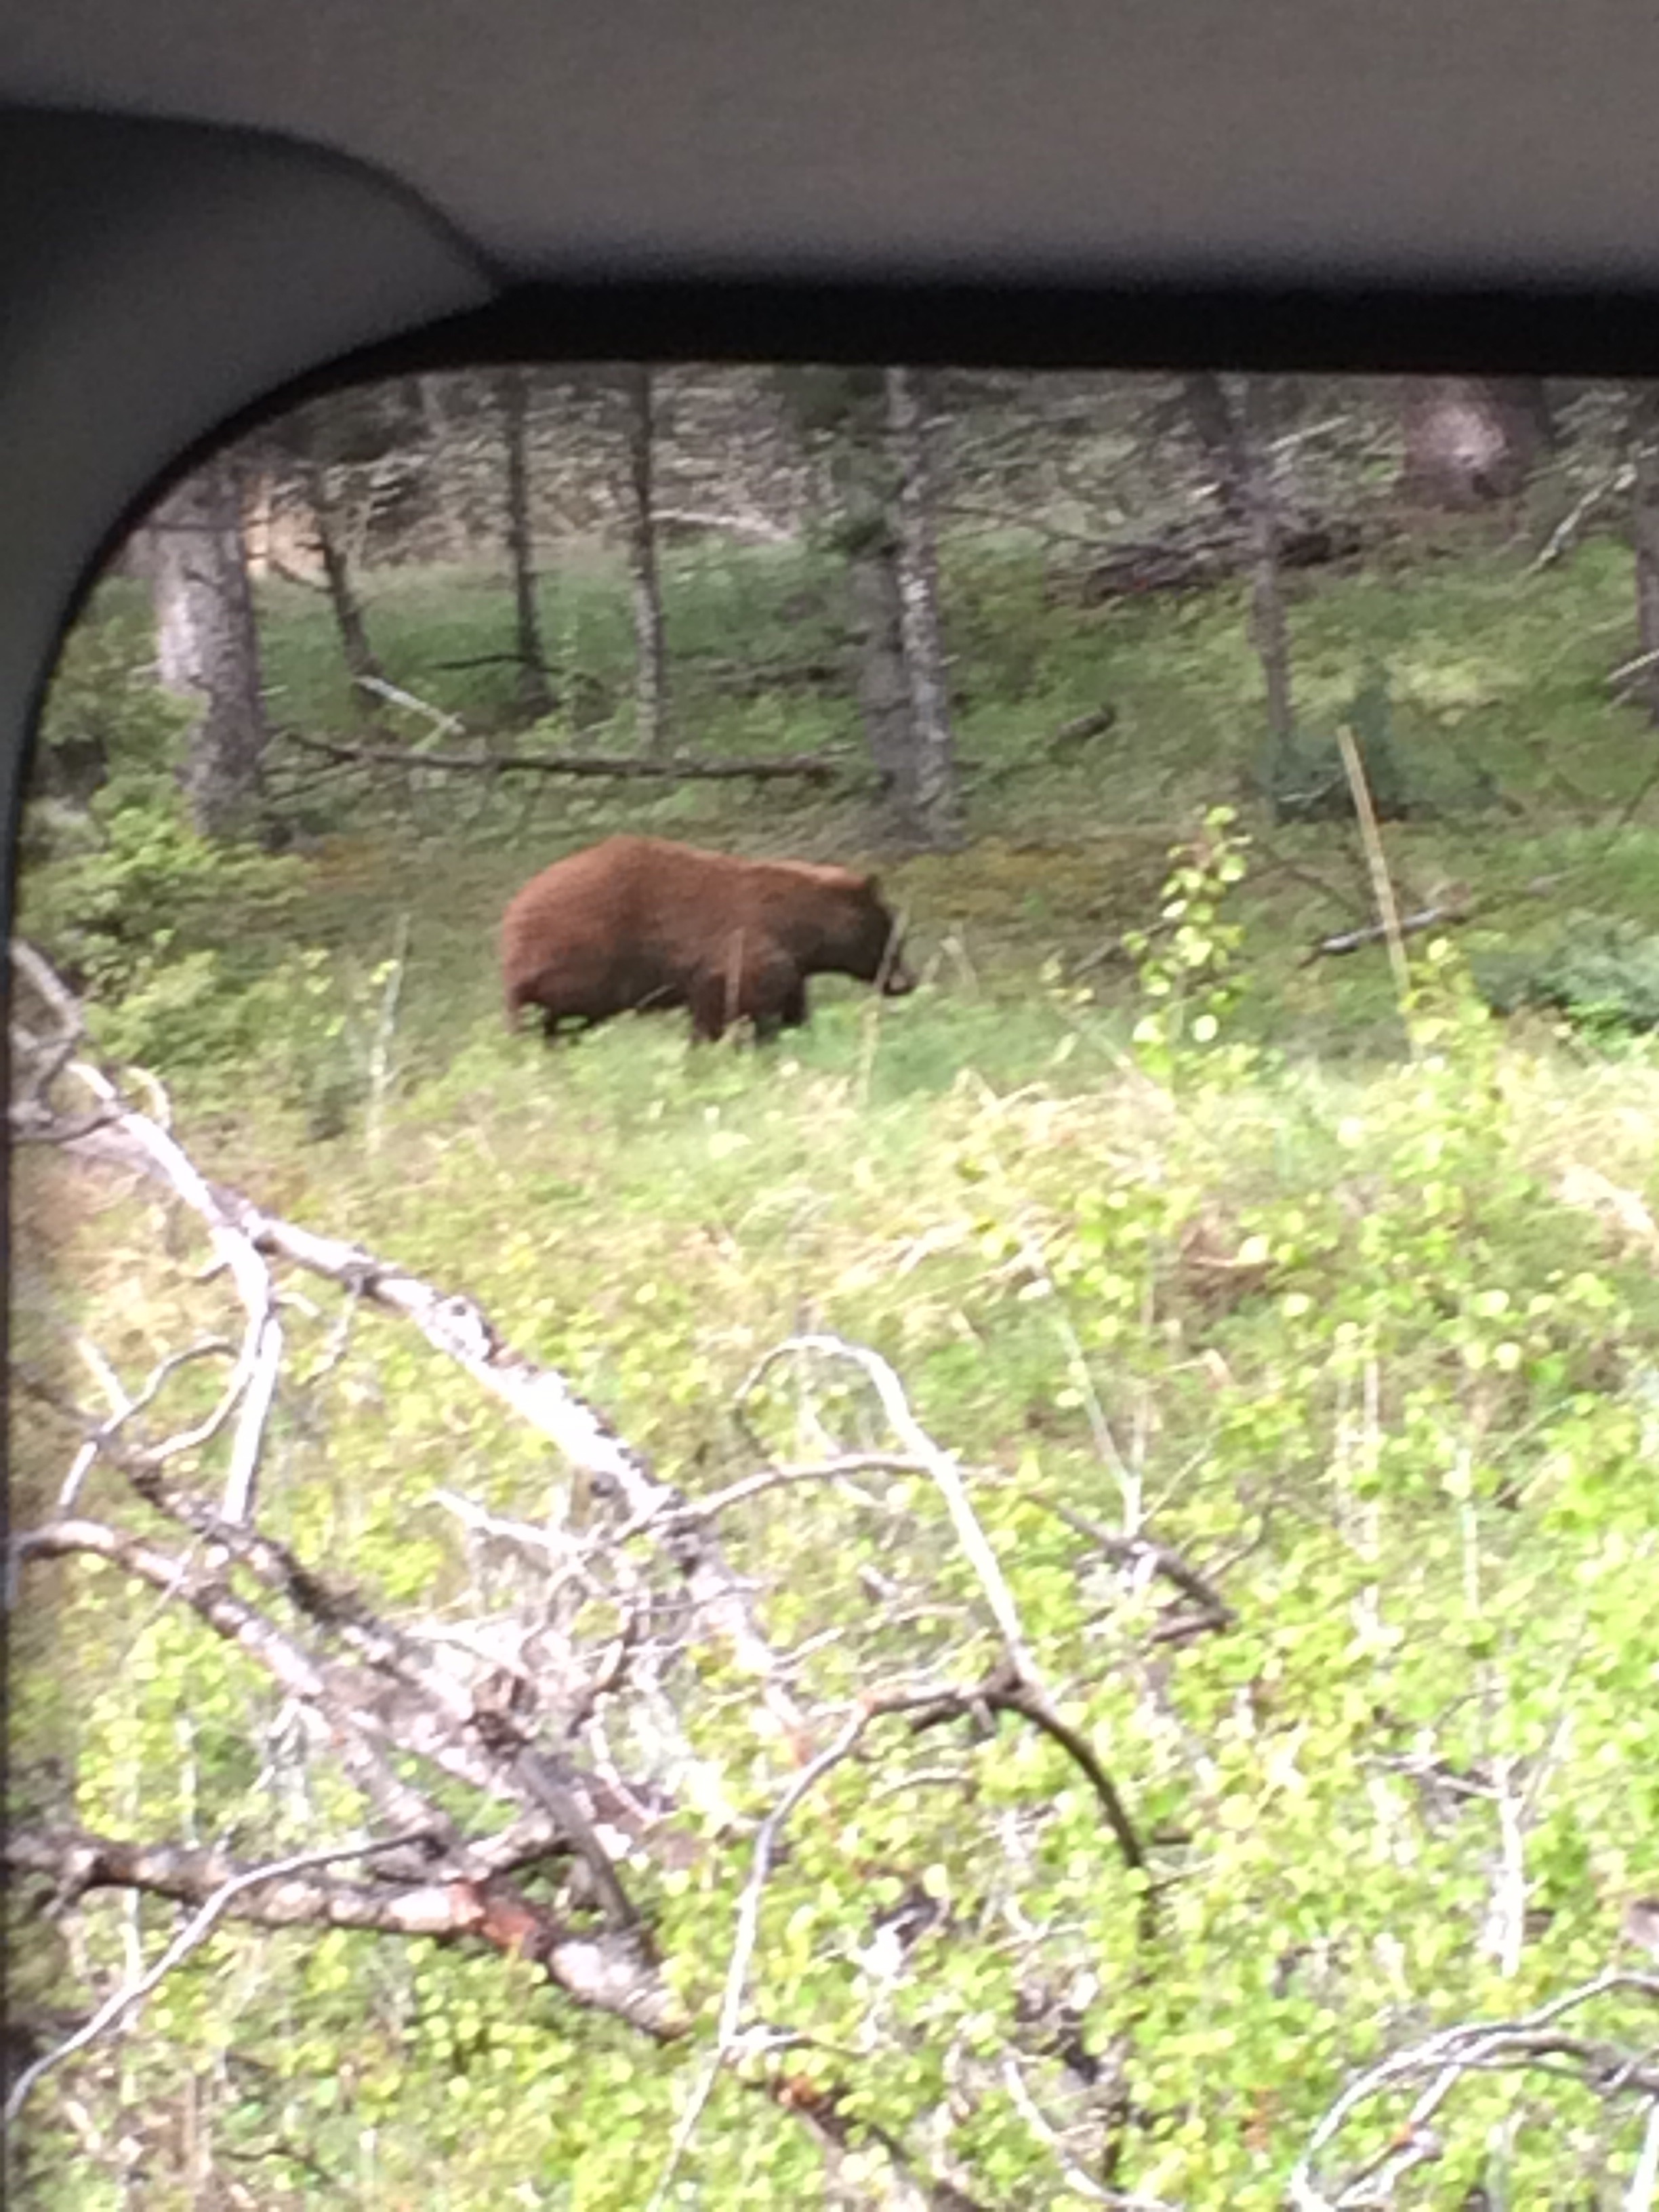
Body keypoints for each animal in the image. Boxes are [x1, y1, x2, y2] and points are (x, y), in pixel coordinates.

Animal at [499, 834, 915, 1044]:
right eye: (891, 931)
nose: (906, 982)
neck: (795, 925)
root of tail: (513, 914)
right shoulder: (740, 955)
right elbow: (730, 1006)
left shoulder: (789, 967)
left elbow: (790, 1007)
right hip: (581, 964)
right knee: (557, 1018)